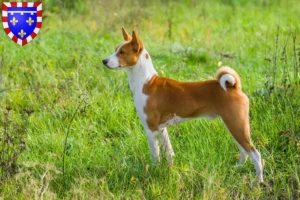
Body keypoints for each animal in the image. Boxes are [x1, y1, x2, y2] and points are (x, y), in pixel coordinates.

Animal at [102, 27, 264, 182]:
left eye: (122, 52)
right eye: (116, 49)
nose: (104, 61)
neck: (146, 82)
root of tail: (233, 87)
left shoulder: (151, 129)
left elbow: (155, 157)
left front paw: (153, 172)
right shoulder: (162, 129)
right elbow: (169, 153)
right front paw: (170, 170)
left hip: (236, 125)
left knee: (255, 154)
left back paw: (258, 180)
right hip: (234, 126)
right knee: (244, 151)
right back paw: (238, 168)